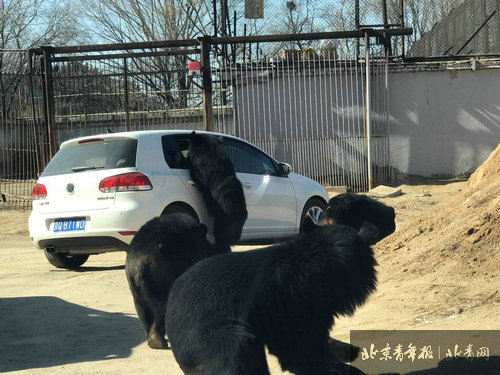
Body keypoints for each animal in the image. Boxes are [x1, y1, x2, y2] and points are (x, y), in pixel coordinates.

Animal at [125, 213, 213, 352]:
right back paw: (158, 341)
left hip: (134, 282)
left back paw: (151, 337)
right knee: (163, 304)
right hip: (160, 275)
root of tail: (138, 264)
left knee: (141, 307)